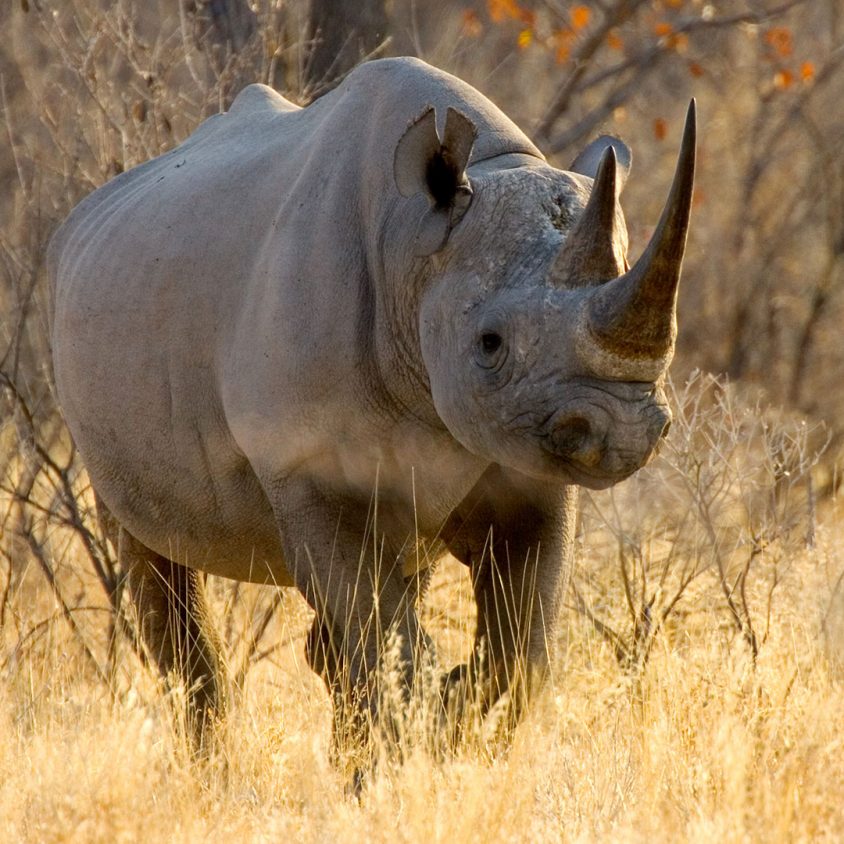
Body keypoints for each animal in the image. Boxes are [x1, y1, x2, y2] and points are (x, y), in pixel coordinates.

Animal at [48, 57, 695, 755]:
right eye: (489, 344)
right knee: (155, 565)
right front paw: (425, 732)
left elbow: (523, 650)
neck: (413, 246)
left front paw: (450, 722)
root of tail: (79, 219)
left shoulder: (527, 470)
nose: (622, 432)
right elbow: (388, 641)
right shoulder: (307, 470)